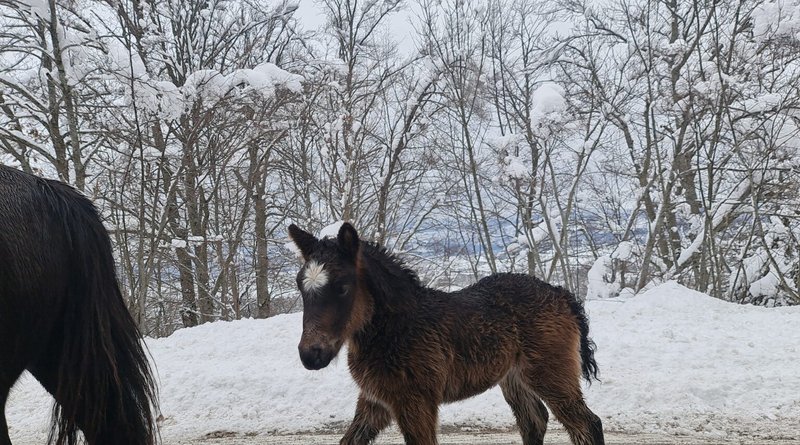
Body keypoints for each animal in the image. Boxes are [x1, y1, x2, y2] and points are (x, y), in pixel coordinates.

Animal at [290, 224, 604, 444]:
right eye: (300, 285)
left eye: (343, 287)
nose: (310, 354)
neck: (397, 329)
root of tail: (561, 294)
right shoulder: (375, 401)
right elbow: (348, 440)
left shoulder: (416, 402)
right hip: (514, 378)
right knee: (534, 422)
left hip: (551, 374)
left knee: (587, 425)